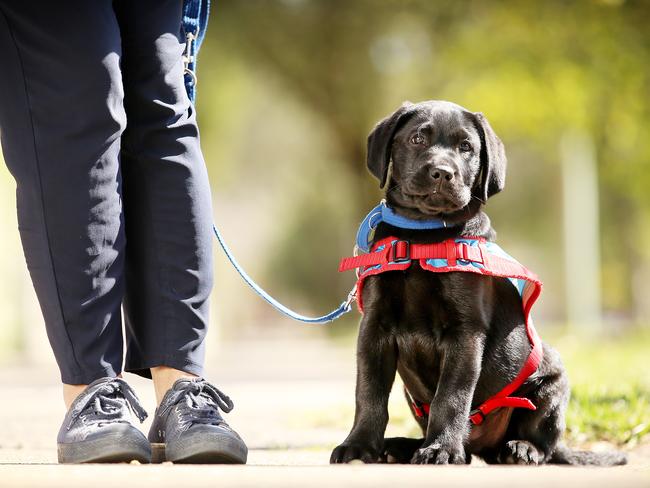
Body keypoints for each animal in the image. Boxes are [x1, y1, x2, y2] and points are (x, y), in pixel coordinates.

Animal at [332, 101, 624, 468]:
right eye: (417, 138)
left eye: (466, 147)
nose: (443, 172)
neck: (423, 237)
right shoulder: (375, 327)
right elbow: (369, 392)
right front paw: (358, 445)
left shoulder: (466, 332)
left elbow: (451, 396)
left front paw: (442, 448)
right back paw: (402, 446)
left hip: (553, 380)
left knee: (543, 443)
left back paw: (518, 449)